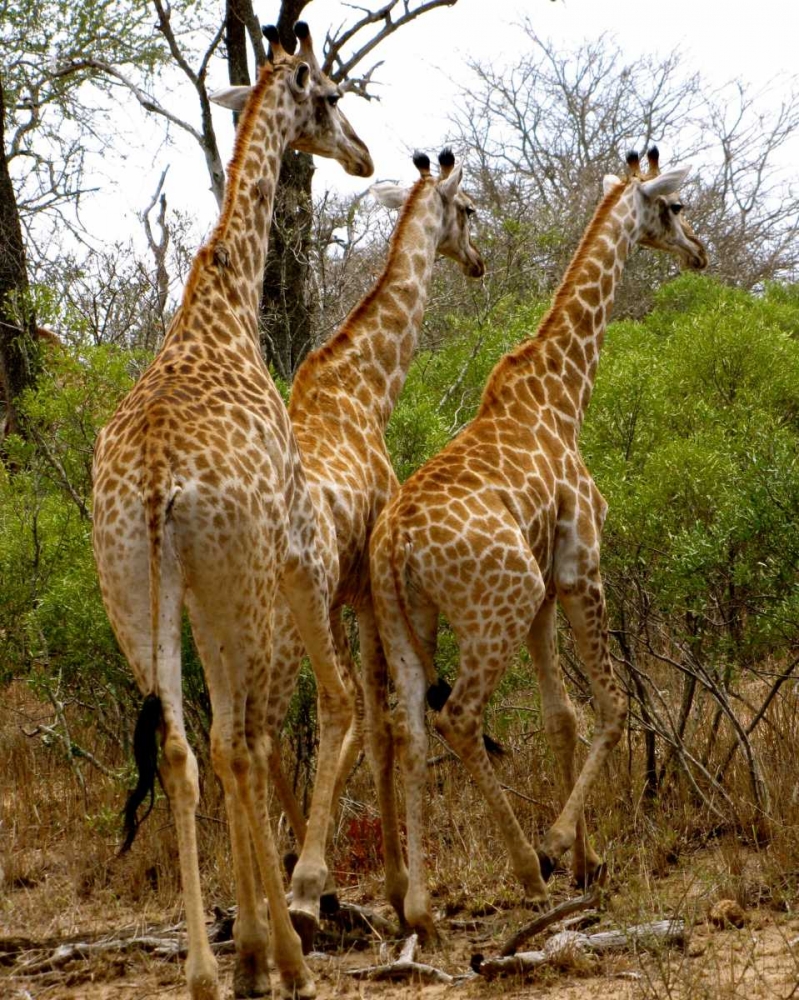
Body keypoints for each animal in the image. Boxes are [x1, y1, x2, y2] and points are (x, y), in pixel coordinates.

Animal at [91, 23, 372, 1000]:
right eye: (329, 95)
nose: (364, 155)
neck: (223, 309)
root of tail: (152, 487)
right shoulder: (283, 547)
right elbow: (261, 735)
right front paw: (274, 940)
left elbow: (211, 747)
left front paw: (244, 949)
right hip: (234, 581)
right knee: (239, 742)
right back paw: (280, 957)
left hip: (137, 597)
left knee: (186, 751)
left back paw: (207, 972)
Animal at [263, 149, 484, 930]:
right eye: (469, 209)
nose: (477, 260)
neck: (366, 390)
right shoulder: (361, 594)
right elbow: (384, 724)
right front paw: (392, 885)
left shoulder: (345, 601)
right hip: (293, 608)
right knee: (325, 710)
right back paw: (303, 887)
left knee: (253, 729)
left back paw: (289, 883)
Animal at [367, 148, 708, 938]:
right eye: (675, 208)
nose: (700, 252)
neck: (565, 391)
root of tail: (395, 543)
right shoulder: (582, 565)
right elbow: (611, 707)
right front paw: (560, 850)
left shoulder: (550, 587)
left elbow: (561, 717)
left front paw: (587, 862)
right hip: (500, 599)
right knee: (458, 716)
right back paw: (524, 865)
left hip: (408, 618)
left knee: (409, 727)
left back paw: (419, 907)